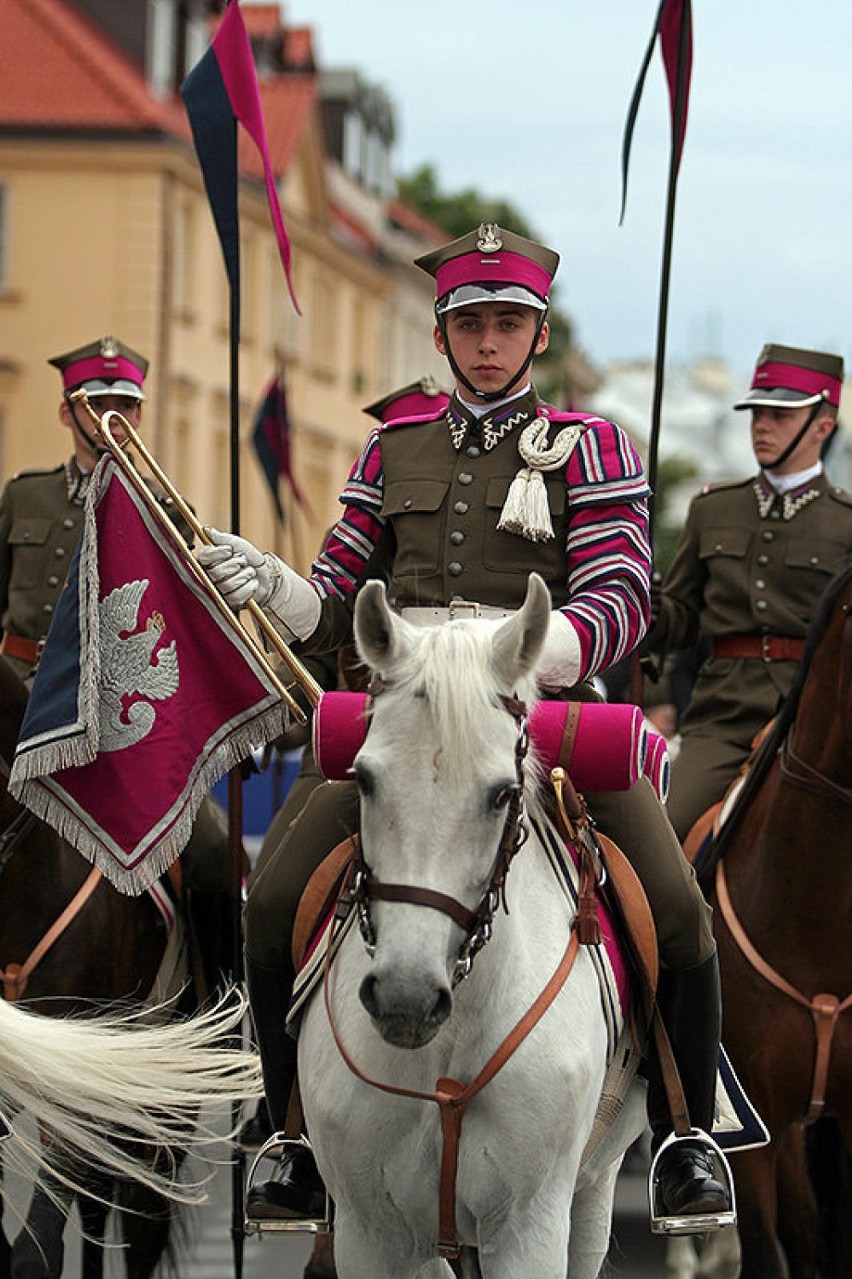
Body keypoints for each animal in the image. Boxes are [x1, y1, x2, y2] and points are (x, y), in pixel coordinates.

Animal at [298, 578, 644, 1279]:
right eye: (364, 778)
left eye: (501, 792)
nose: (405, 997)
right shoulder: (373, 1233)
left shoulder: (529, 1227)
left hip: (593, 1190)